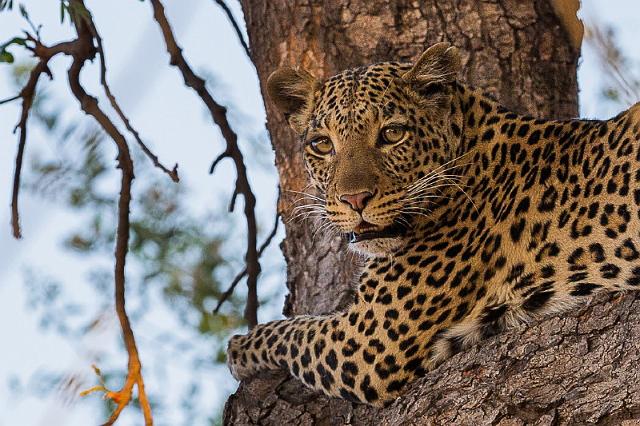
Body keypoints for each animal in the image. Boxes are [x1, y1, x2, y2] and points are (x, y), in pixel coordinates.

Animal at [225, 42, 640, 406]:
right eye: (322, 144)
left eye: (392, 134)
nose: (354, 200)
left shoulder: (365, 342)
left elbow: (295, 331)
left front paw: (240, 346)